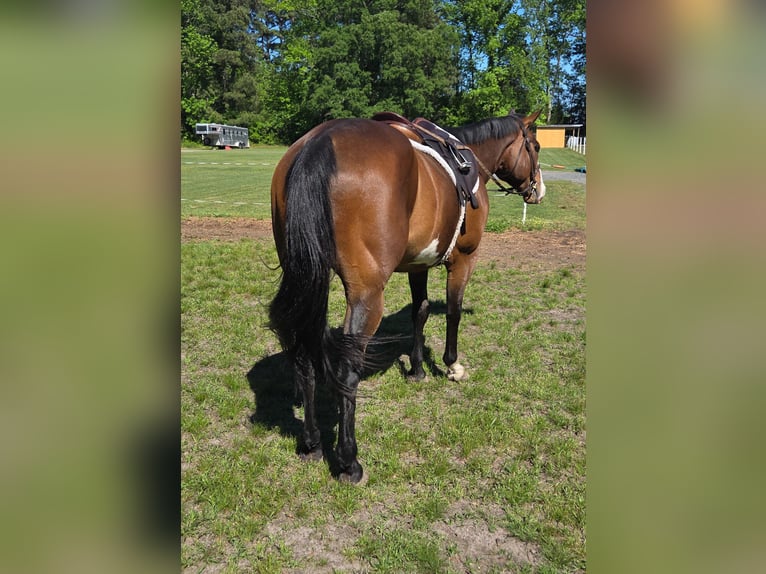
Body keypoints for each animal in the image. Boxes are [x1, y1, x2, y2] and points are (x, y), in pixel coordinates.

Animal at [268, 110, 545, 483]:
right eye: (536, 146)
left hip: (306, 280)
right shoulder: (464, 258)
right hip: (367, 294)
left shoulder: (419, 263)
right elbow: (454, 311)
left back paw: (311, 442)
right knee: (347, 371)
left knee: (304, 356)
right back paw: (349, 461)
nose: (539, 189)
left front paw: (416, 369)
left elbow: (421, 310)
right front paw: (452, 365)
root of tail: (320, 141)